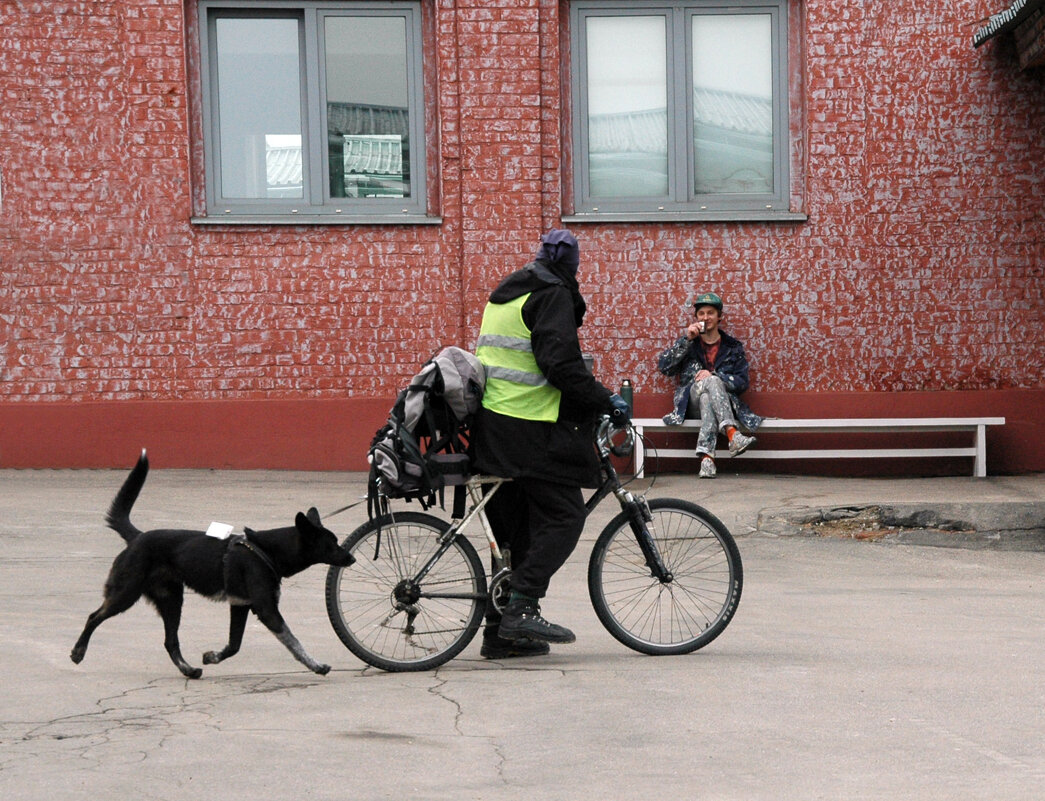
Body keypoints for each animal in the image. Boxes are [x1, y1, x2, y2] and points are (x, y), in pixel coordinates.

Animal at [70, 451, 355, 676]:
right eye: (331, 544)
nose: (351, 558)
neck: (266, 550)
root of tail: (137, 536)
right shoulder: (266, 609)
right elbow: (293, 641)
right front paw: (315, 665)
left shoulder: (240, 606)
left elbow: (234, 645)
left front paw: (212, 657)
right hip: (126, 593)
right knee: (94, 616)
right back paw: (78, 651)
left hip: (172, 601)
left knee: (170, 641)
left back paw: (188, 670)